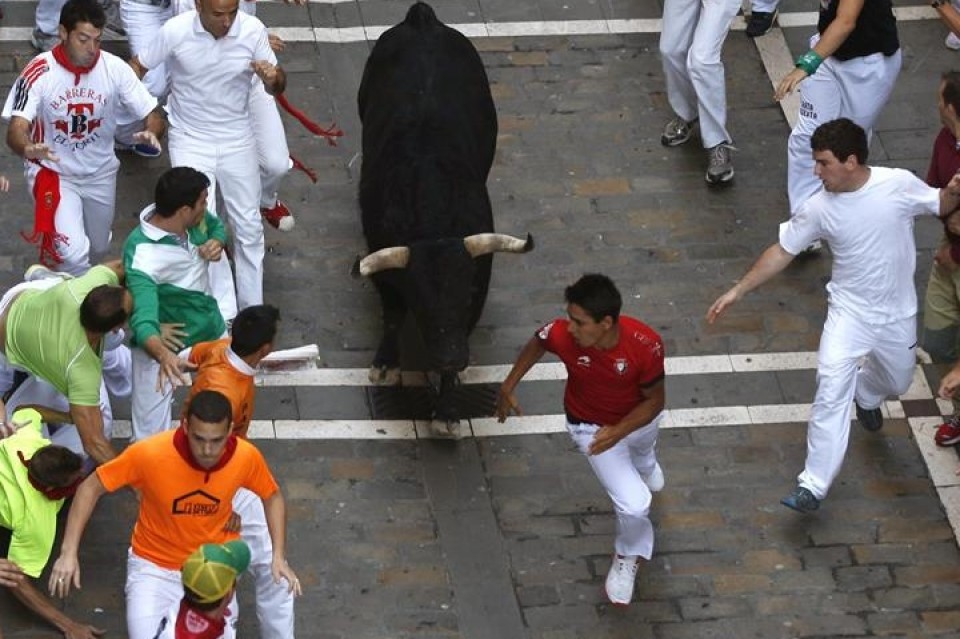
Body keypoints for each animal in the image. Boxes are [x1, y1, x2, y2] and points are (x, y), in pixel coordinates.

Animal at [354, 2, 532, 420]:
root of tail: (423, 19)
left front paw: (448, 410)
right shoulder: (385, 271)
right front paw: (385, 364)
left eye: (465, 297)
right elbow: (392, 316)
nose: (451, 358)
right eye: (422, 302)